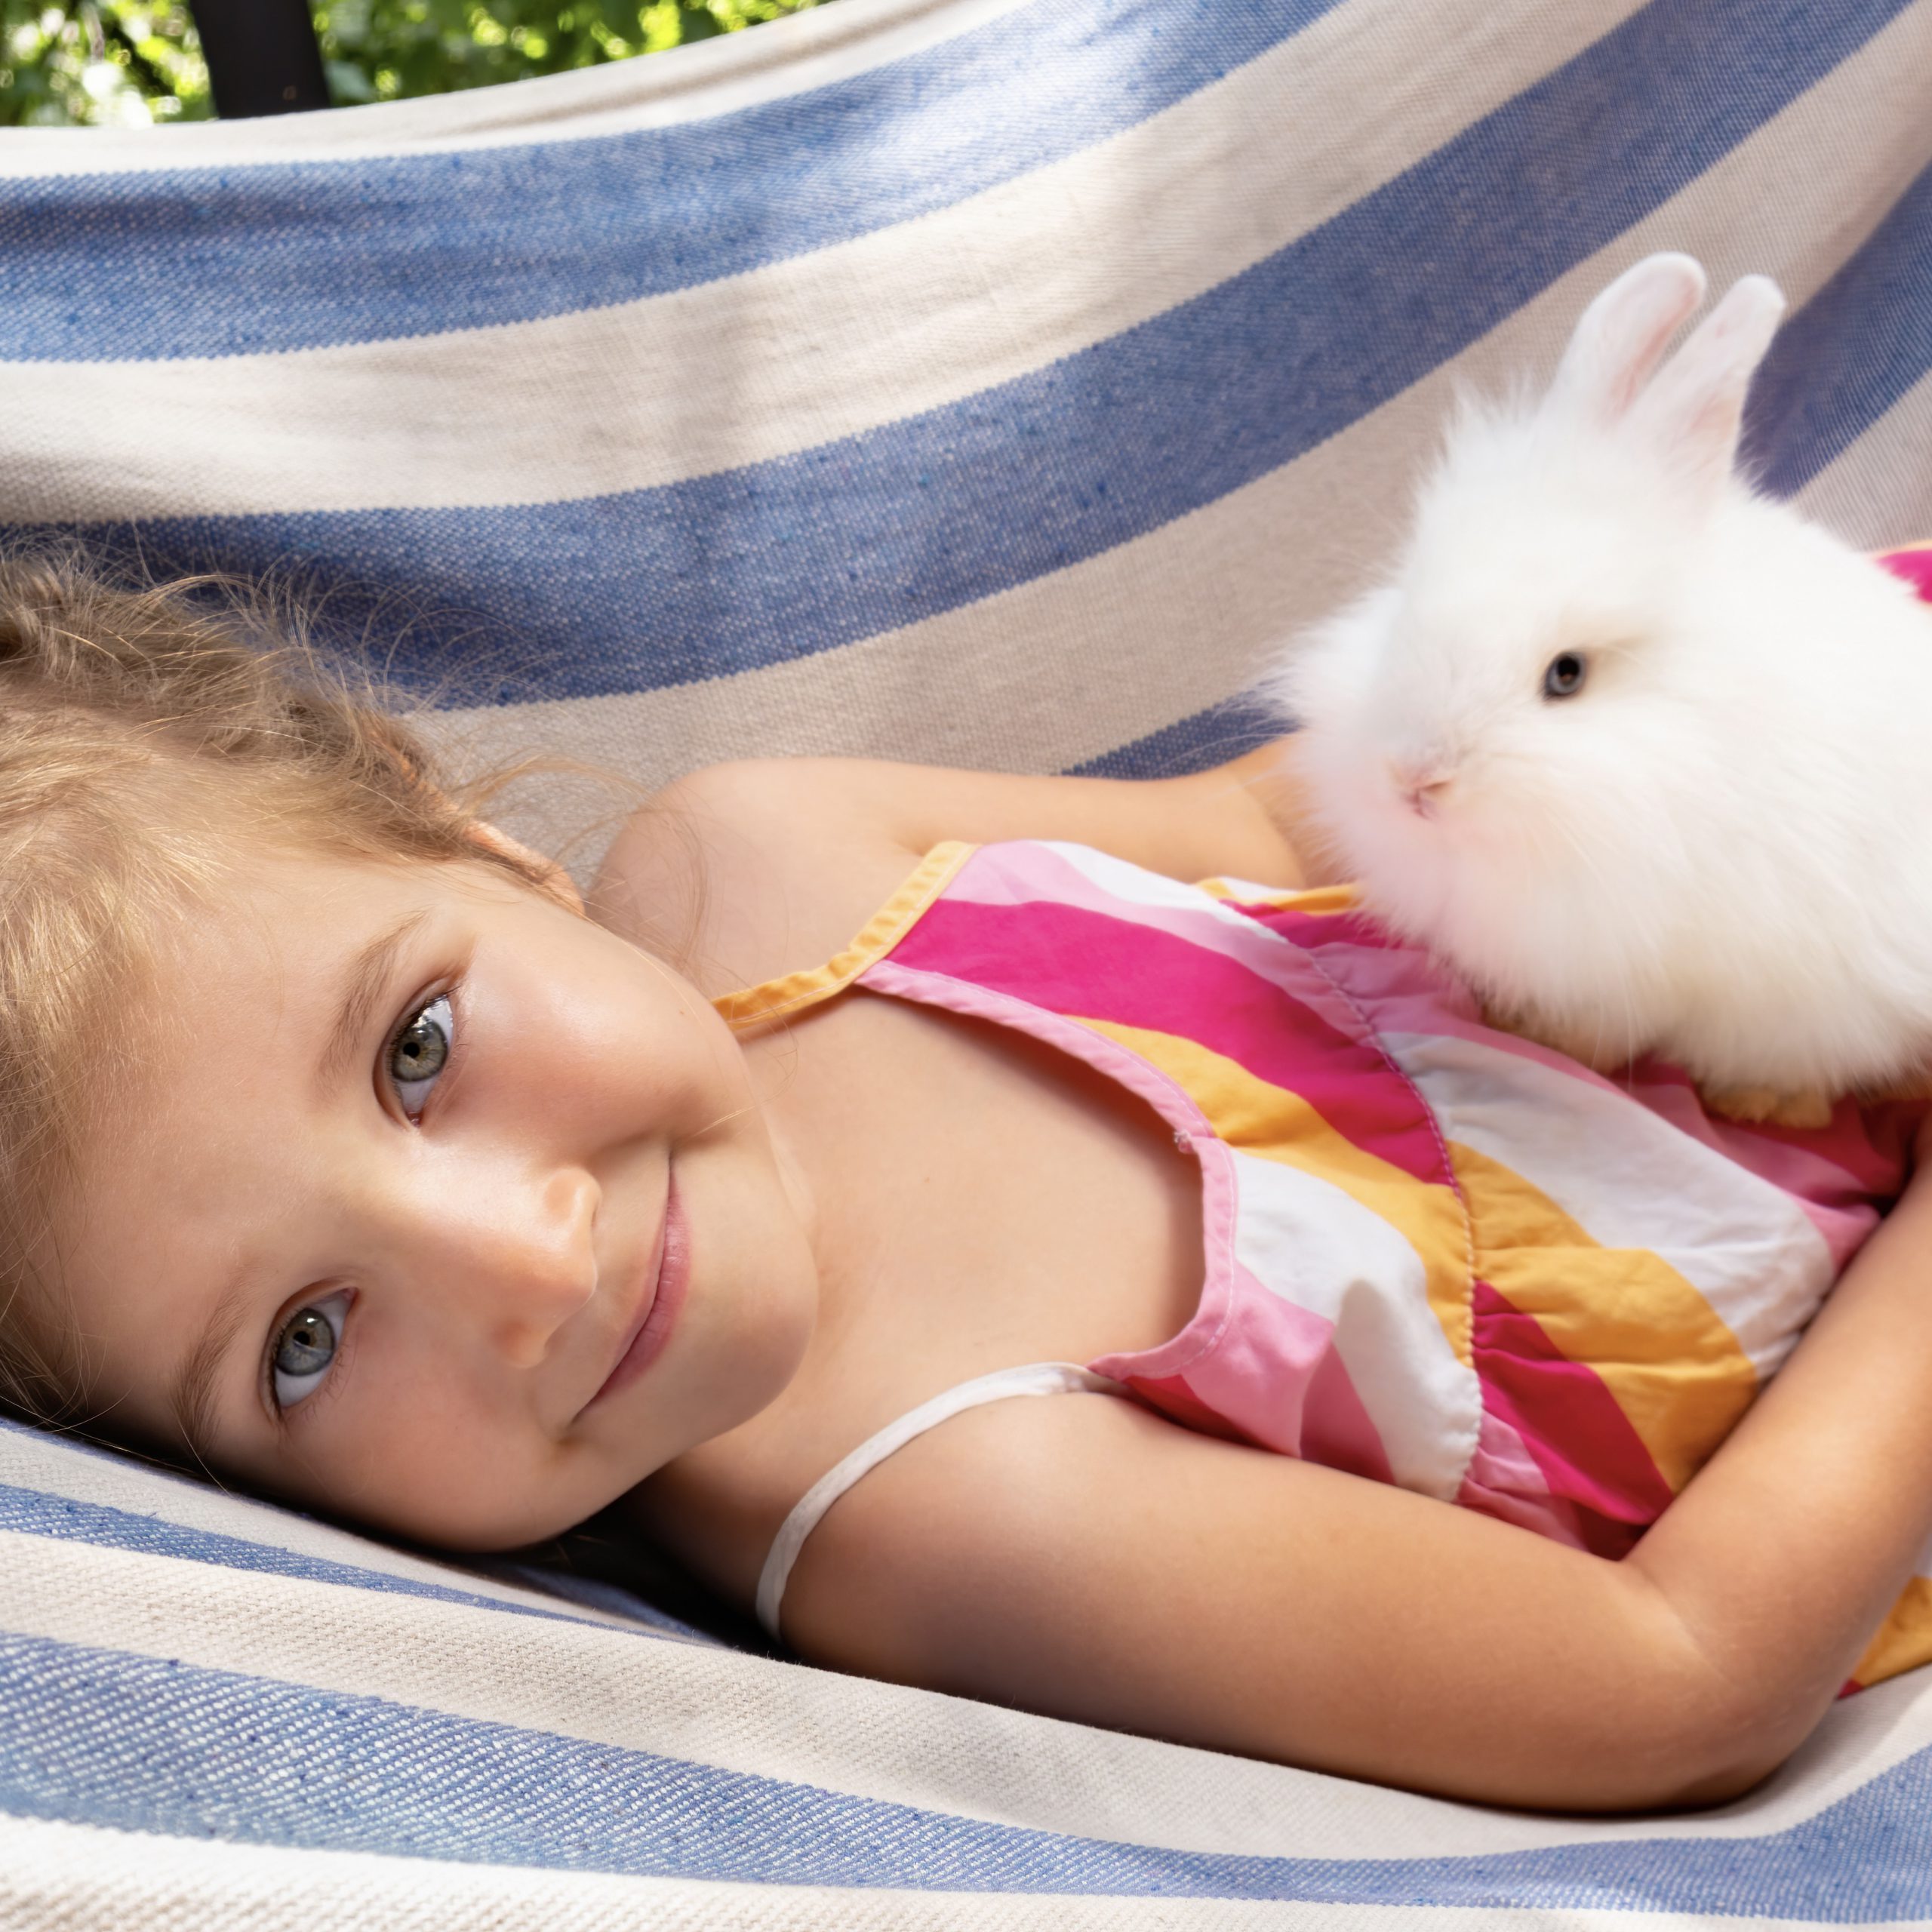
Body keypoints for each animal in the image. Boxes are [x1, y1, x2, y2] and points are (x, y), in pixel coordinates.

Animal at [1275, 251, 1932, 1128]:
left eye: (1567, 674)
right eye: (1409, 601)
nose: (1416, 778)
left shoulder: (1643, 961)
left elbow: (1606, 1032)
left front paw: (1547, 1043)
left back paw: (1765, 1102)